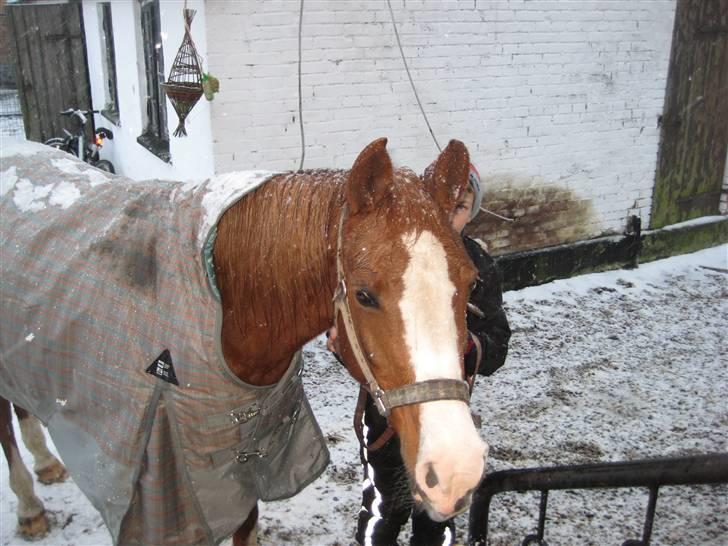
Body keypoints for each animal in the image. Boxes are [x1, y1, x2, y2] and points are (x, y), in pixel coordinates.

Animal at [2, 137, 490, 544]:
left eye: (471, 282)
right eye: (364, 295)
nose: (456, 471)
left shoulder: (245, 475)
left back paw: (46, 464)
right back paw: (30, 508)